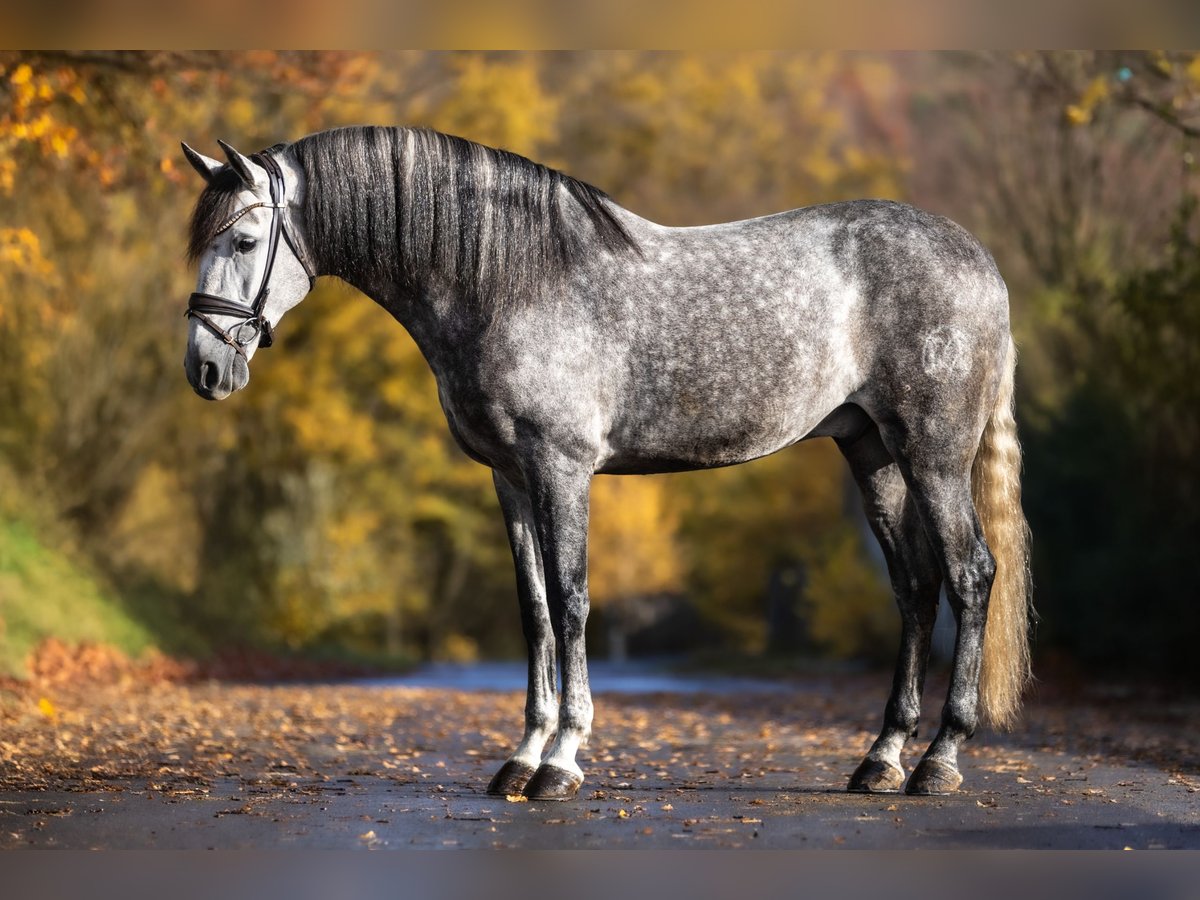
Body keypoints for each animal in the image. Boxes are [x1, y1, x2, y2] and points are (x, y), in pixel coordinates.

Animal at [180, 126, 1032, 800]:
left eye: (245, 242)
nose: (205, 371)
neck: (506, 278)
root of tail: (980, 263)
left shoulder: (561, 466)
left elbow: (571, 601)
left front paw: (561, 761)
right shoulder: (510, 478)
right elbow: (533, 612)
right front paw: (520, 759)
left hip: (933, 453)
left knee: (969, 575)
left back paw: (939, 762)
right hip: (871, 451)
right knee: (915, 588)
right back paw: (881, 760)